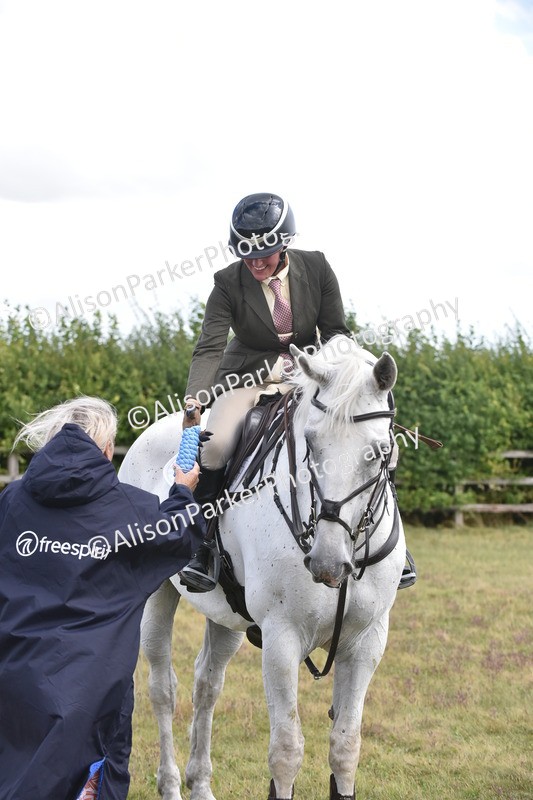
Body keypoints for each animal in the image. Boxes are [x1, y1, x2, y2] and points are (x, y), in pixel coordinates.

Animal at [118, 335, 406, 800]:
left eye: (380, 452)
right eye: (311, 443)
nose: (328, 563)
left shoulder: (366, 643)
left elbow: (346, 746)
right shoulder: (281, 638)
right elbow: (286, 750)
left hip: (227, 616)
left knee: (206, 686)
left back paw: (201, 785)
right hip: (158, 596)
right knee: (163, 689)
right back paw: (173, 785)